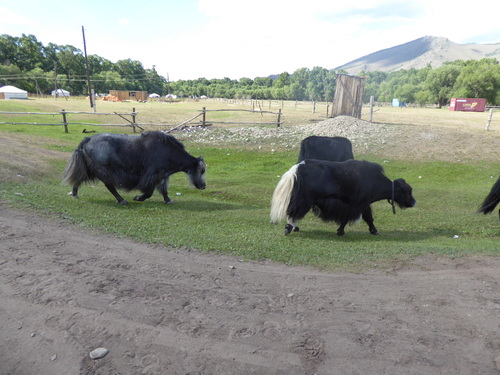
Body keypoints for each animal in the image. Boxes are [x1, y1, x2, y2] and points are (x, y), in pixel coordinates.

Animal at [63, 131, 206, 204]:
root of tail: (87, 139)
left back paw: (75, 194)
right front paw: (138, 198)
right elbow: (149, 192)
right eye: (201, 170)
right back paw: (122, 200)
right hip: (103, 170)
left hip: (89, 168)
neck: (169, 152)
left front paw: (168, 200)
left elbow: (164, 190)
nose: (203, 186)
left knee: (79, 179)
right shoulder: (152, 174)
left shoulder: (163, 174)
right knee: (109, 186)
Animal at [272, 159, 416, 236]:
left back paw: (293, 228)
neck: (373, 180)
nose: (414, 202)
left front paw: (373, 230)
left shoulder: (363, 204)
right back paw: (289, 228)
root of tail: (297, 168)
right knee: (293, 212)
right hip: (305, 200)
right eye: (408, 191)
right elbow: (357, 217)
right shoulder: (358, 203)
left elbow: (368, 217)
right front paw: (341, 231)